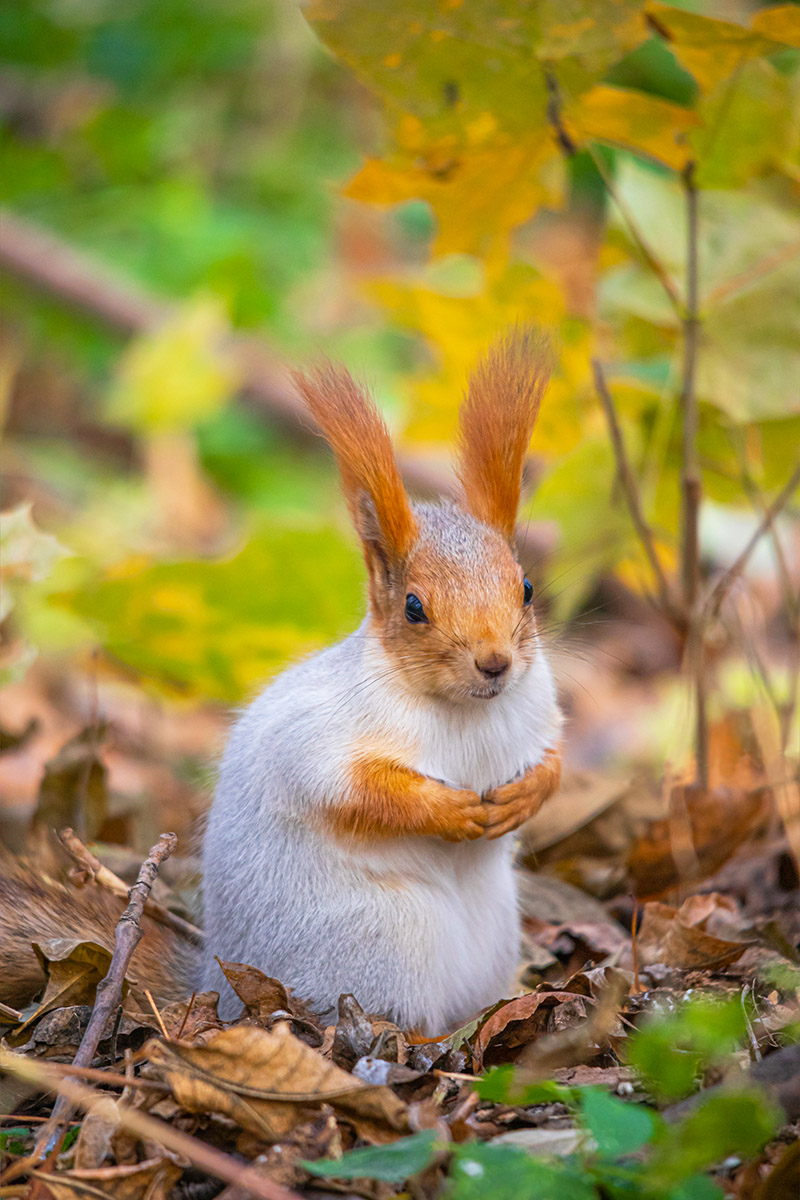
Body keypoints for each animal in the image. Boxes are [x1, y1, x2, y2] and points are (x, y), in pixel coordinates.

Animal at [0, 331, 563, 1041]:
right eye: (414, 607)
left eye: (527, 587)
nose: (495, 663)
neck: (464, 710)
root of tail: (218, 988)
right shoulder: (319, 738)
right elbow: (352, 789)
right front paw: (449, 811)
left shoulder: (538, 707)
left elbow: (555, 759)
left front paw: (525, 796)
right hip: (383, 942)